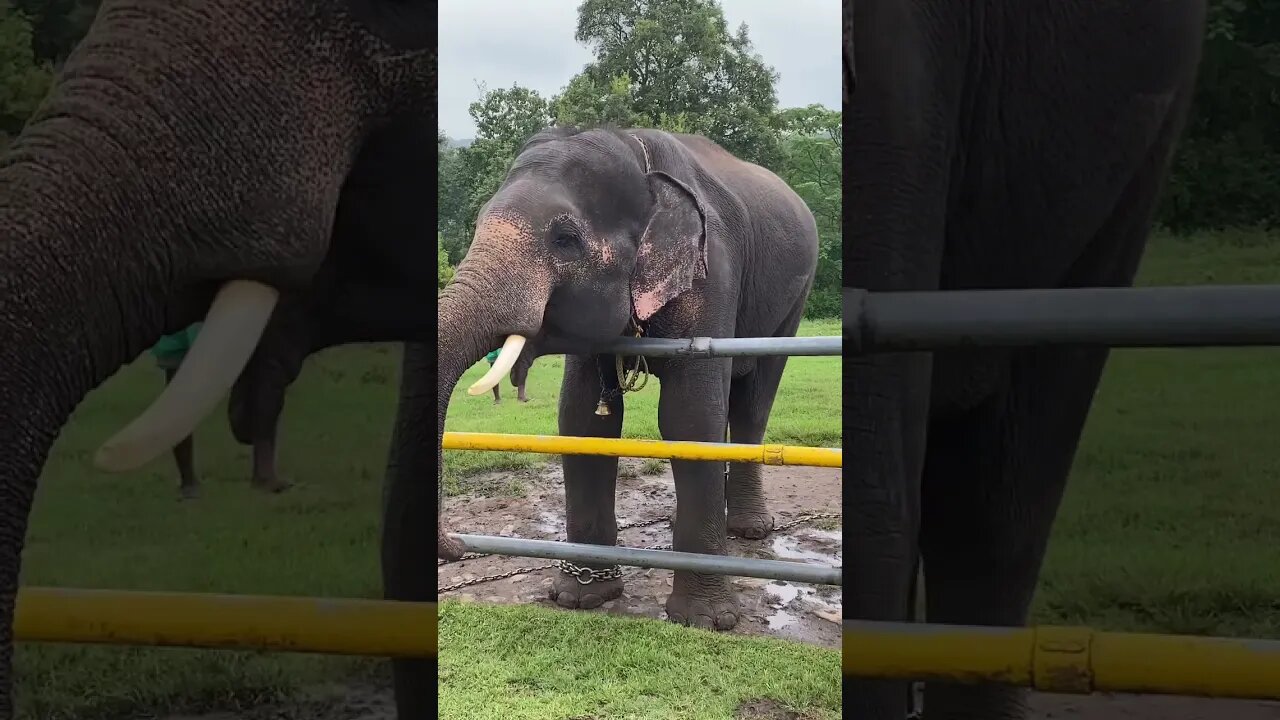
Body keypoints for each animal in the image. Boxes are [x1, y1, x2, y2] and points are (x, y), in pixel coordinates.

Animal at [435, 127, 819, 627]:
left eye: (565, 239)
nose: (460, 545)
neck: (635, 150)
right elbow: (583, 417)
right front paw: (580, 597)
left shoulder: (713, 274)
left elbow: (689, 416)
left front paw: (705, 621)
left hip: (794, 299)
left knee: (753, 402)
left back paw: (749, 530)